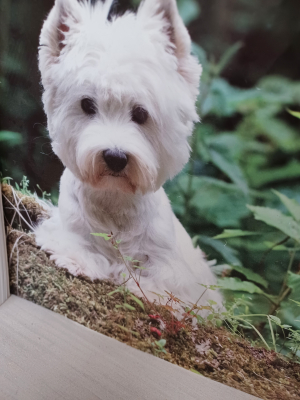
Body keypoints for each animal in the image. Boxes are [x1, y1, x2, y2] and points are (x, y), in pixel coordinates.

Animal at [35, 0, 223, 310]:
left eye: (141, 113)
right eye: (87, 105)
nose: (115, 157)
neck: (115, 203)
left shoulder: (175, 272)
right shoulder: (69, 229)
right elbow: (77, 245)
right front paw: (77, 260)